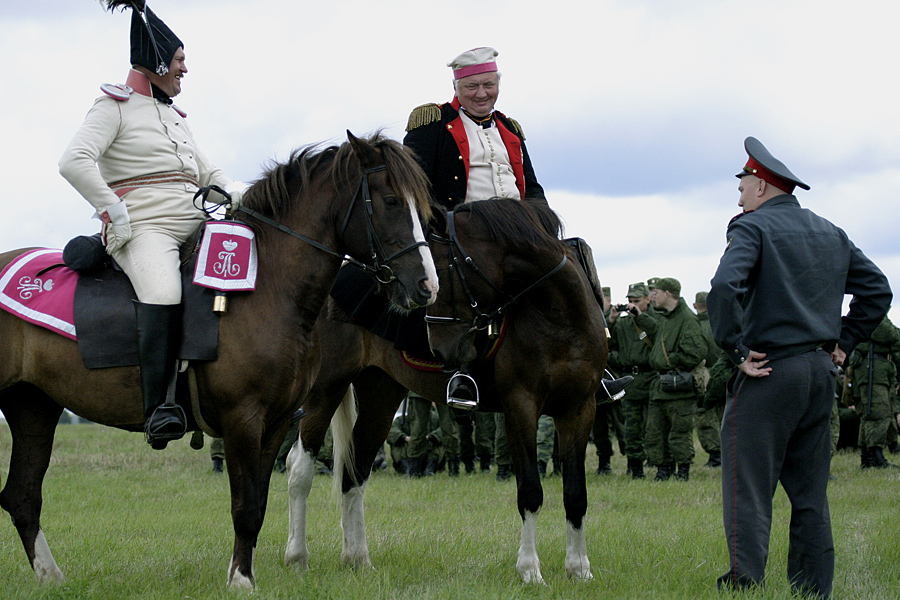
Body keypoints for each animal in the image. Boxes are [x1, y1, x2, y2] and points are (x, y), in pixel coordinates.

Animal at [0, 132, 438, 592]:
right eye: (391, 201)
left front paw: (243, 572)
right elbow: (244, 506)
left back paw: (50, 576)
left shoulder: (276, 421)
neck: (268, 288)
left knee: (22, 495)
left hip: (33, 407)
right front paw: (242, 580)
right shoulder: (242, 419)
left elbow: (258, 504)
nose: (427, 286)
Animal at [284, 197, 604, 580]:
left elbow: (576, 493)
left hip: (381, 393)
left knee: (354, 471)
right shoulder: (521, 408)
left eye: (437, 270)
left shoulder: (579, 409)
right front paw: (530, 570)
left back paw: (358, 559)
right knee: (299, 467)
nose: (439, 349)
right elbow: (530, 490)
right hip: (325, 388)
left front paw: (579, 569)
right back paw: (297, 557)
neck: (559, 316)